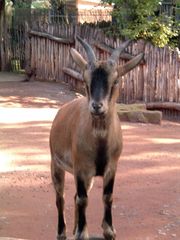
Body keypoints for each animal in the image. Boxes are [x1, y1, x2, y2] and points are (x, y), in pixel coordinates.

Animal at [49, 36, 143, 240]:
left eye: (115, 80)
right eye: (85, 80)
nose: (97, 106)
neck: (100, 143)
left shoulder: (111, 167)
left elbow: (107, 196)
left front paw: (108, 230)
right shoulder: (80, 168)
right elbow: (83, 200)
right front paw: (82, 232)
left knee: (73, 197)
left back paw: (74, 228)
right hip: (56, 165)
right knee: (61, 198)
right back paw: (62, 233)